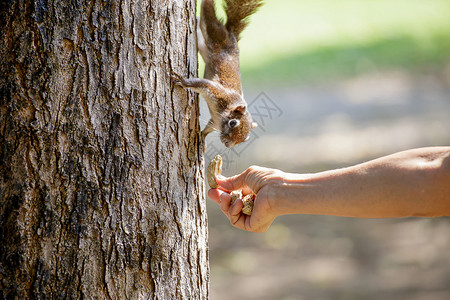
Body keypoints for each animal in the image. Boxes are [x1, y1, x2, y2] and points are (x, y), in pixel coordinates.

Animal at [173, 0, 264, 149]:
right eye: (233, 123)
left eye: (245, 139)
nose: (227, 144)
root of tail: (231, 36)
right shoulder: (217, 92)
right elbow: (201, 83)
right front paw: (183, 81)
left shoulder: (215, 123)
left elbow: (208, 129)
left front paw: (202, 139)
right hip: (214, 33)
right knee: (208, 16)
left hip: (204, 42)